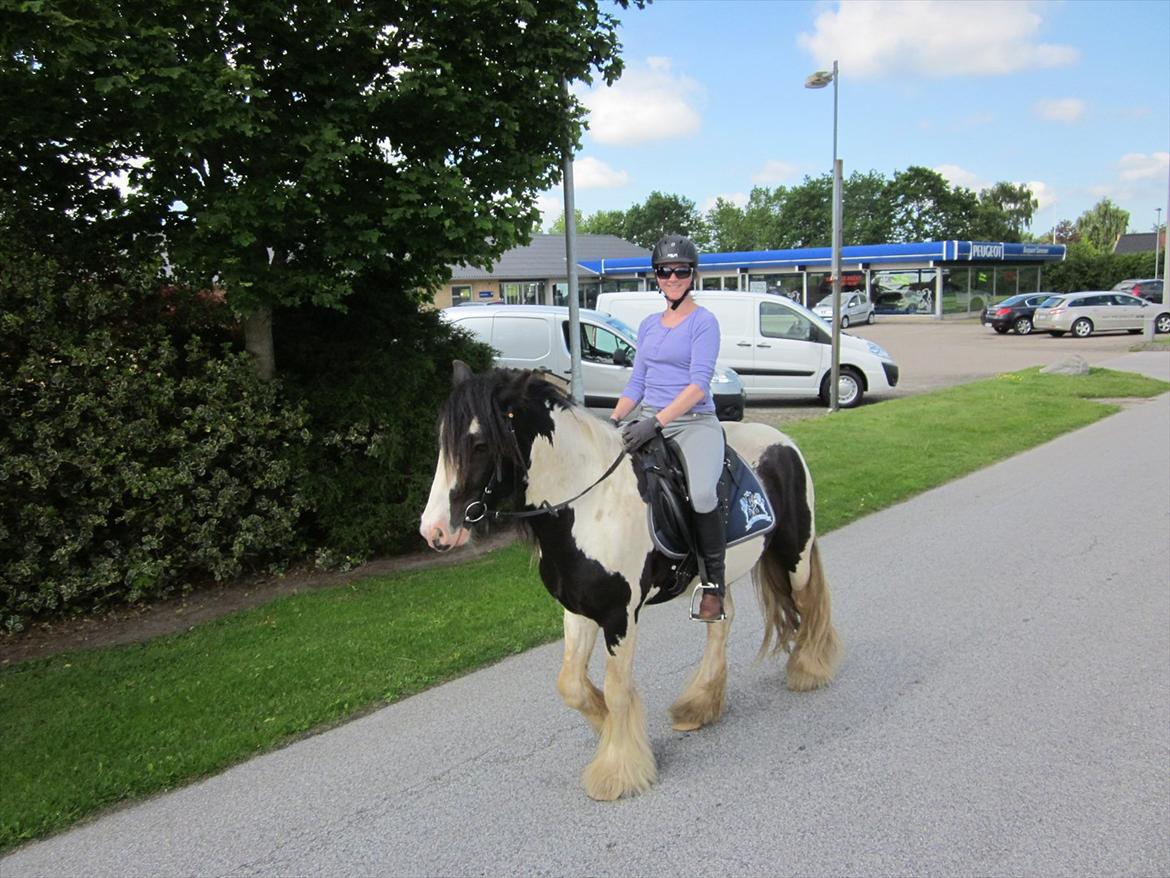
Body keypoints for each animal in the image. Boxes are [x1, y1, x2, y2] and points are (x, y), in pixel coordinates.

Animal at [421, 360, 842, 800]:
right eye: (442, 441)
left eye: (480, 444)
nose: (434, 531)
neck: (587, 505)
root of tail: (783, 441)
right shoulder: (578, 609)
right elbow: (571, 684)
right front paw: (606, 728)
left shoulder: (619, 615)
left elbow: (618, 690)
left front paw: (618, 771)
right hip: (716, 577)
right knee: (721, 622)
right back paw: (698, 706)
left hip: (795, 553)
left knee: (808, 603)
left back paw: (808, 670)